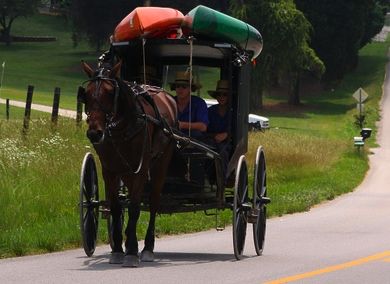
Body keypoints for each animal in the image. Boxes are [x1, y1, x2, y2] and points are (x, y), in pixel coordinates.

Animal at [80, 61, 177, 268]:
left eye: (110, 92)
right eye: (87, 93)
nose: (94, 133)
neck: (123, 127)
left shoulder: (141, 169)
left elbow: (134, 207)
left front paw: (132, 251)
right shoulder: (110, 170)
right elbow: (117, 207)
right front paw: (118, 249)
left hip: (160, 165)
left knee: (153, 203)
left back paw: (147, 247)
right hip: (126, 171)